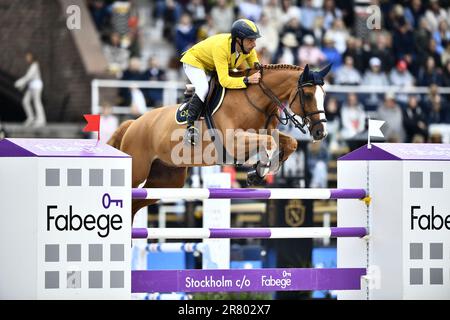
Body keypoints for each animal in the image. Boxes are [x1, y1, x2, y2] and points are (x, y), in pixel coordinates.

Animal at [107, 63, 328, 221]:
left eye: (324, 95)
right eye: (308, 95)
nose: (321, 132)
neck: (255, 100)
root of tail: (133, 123)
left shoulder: (267, 132)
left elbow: (291, 143)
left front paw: (256, 174)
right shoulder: (234, 142)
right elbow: (269, 144)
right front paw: (261, 169)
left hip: (166, 180)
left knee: (134, 205)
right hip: (138, 170)